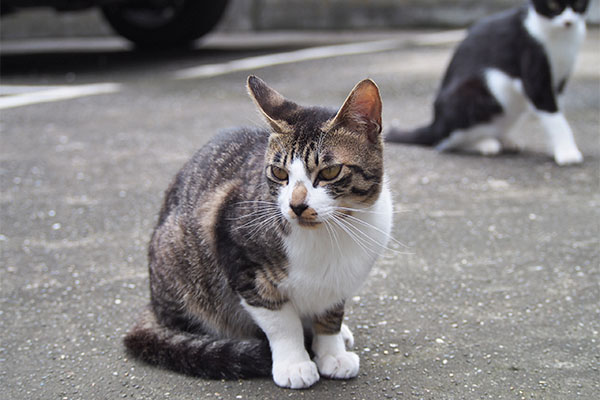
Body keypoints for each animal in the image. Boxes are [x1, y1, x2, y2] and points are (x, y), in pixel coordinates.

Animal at [123, 75, 394, 388]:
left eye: (329, 172)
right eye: (279, 173)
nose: (296, 205)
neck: (329, 233)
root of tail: (153, 303)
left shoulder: (339, 281)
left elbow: (331, 314)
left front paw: (332, 352)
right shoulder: (239, 258)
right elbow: (281, 323)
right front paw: (294, 363)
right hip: (178, 258)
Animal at [386, 0, 588, 166]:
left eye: (578, 3)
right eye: (553, 5)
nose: (568, 22)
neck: (560, 38)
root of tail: (435, 123)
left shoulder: (558, 81)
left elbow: (555, 112)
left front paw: (555, 147)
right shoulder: (534, 75)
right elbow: (554, 116)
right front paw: (567, 152)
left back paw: (504, 139)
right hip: (488, 86)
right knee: (444, 142)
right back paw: (485, 144)